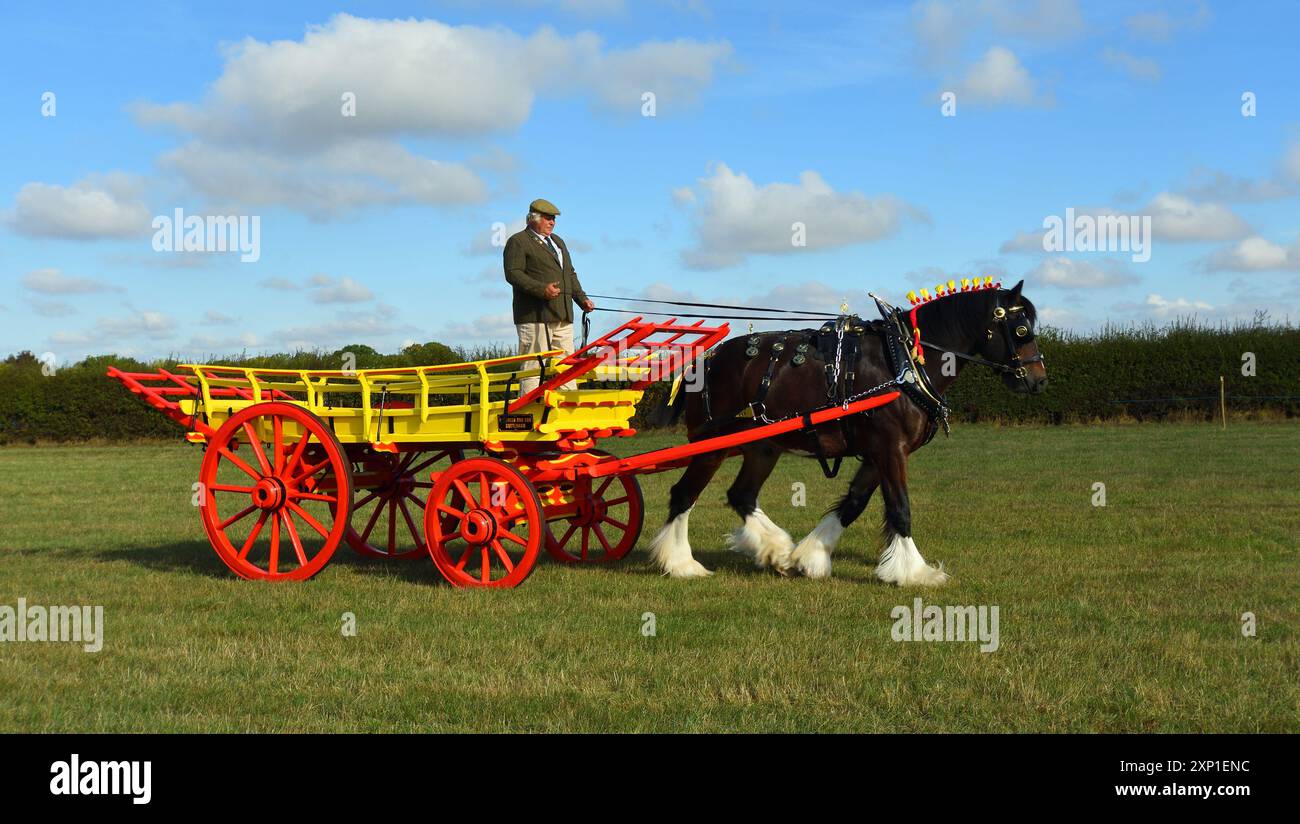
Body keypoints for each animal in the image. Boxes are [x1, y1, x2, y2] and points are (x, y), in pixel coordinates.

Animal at [647, 279, 1045, 579]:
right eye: (1021, 329)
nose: (1038, 381)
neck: (904, 360)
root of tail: (706, 359)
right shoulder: (889, 448)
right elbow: (900, 507)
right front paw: (916, 572)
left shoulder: (878, 452)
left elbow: (854, 503)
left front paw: (810, 556)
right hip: (711, 444)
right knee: (683, 495)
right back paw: (682, 564)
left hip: (763, 446)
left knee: (741, 495)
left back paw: (776, 550)